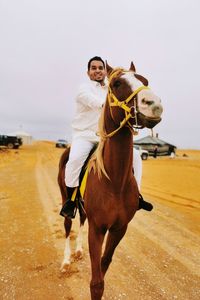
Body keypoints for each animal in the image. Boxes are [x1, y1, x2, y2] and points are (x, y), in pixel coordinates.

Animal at [57, 62, 162, 298]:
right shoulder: (98, 229)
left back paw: (78, 251)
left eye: (145, 80)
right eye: (117, 83)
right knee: (68, 225)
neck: (114, 182)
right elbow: (96, 282)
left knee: (81, 219)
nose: (155, 104)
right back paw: (66, 261)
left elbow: (104, 264)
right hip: (65, 198)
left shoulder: (119, 228)